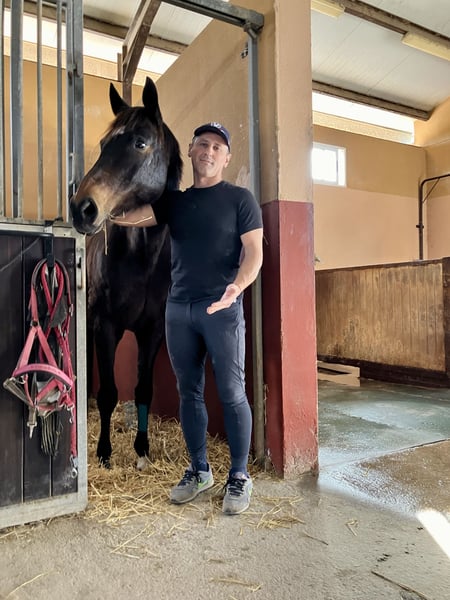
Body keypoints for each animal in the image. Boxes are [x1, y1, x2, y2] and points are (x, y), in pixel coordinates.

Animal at [70, 77, 182, 469]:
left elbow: (143, 389)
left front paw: (142, 448)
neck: (142, 261)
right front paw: (104, 453)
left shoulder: (153, 331)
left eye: (140, 142)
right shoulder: (106, 326)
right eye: (104, 144)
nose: (82, 208)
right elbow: (108, 393)